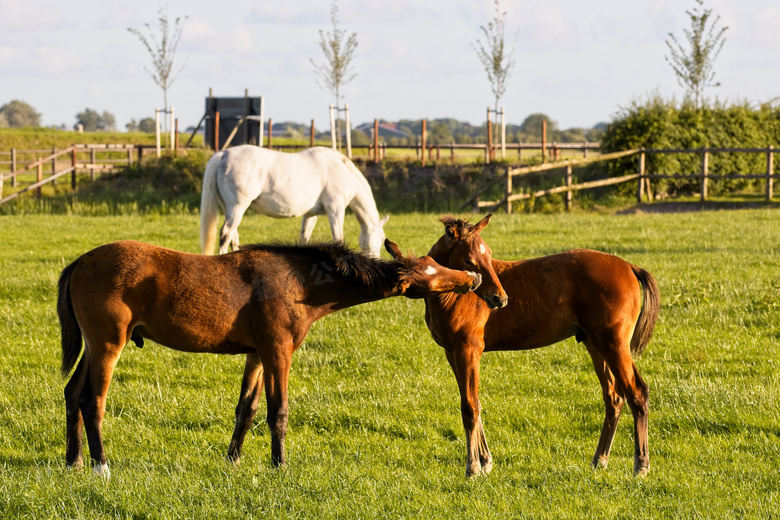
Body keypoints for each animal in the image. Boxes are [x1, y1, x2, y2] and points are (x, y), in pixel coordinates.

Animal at [58, 238, 482, 478]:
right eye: (431, 272)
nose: (472, 279)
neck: (300, 283)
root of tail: (79, 262)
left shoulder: (257, 355)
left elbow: (246, 409)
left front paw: (233, 461)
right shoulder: (279, 352)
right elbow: (278, 411)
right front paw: (279, 466)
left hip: (93, 348)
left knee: (72, 393)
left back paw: (73, 460)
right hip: (107, 345)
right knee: (91, 401)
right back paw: (100, 465)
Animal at [201, 145, 390, 256]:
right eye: (381, 240)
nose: (376, 260)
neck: (341, 169)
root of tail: (224, 154)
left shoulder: (311, 215)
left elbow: (304, 239)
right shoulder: (335, 210)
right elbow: (339, 238)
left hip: (230, 209)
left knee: (233, 236)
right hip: (237, 207)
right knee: (225, 234)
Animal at [420, 214, 660, 476]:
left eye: (488, 255)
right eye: (468, 260)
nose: (500, 298)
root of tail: (629, 267)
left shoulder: (467, 351)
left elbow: (470, 407)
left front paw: (473, 467)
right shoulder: (452, 353)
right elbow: (476, 403)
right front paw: (485, 461)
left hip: (613, 344)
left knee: (637, 392)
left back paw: (641, 464)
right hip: (596, 345)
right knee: (614, 398)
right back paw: (600, 460)